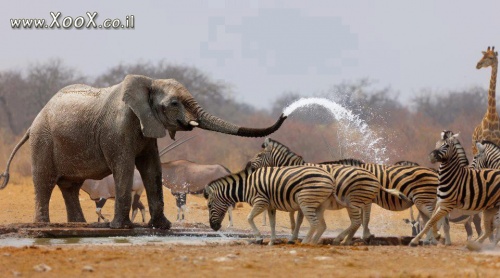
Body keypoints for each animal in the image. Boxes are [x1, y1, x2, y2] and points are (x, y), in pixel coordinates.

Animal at [0, 73, 286, 228]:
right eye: (174, 103)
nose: (285, 113)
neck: (149, 82)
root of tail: (32, 123)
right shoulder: (118, 128)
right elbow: (125, 168)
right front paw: (120, 227)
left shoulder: (148, 127)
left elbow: (152, 169)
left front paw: (162, 227)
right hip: (43, 140)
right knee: (45, 181)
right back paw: (44, 225)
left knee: (70, 185)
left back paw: (78, 225)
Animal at [203, 165, 336, 245]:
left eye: (209, 206)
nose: (213, 227)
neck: (246, 186)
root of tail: (330, 177)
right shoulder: (270, 206)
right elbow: (272, 223)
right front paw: (272, 241)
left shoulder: (261, 201)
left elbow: (249, 218)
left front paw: (259, 238)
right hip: (318, 204)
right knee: (321, 225)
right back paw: (312, 242)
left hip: (305, 201)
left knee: (314, 223)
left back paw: (305, 243)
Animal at [254, 138, 446, 244]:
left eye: (258, 156)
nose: (249, 167)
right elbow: (364, 219)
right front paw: (365, 236)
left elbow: (300, 220)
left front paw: (294, 238)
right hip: (422, 201)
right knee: (429, 218)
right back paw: (428, 239)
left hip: (422, 199)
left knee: (432, 217)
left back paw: (430, 239)